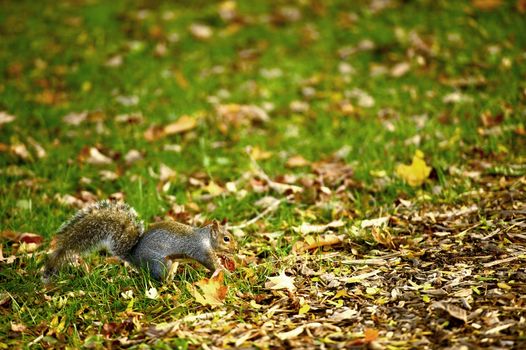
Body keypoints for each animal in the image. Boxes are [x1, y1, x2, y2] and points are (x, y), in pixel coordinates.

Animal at [43, 201, 237, 280]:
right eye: (226, 238)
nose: (236, 249)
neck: (205, 237)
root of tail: (133, 256)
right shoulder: (200, 249)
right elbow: (210, 263)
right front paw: (225, 272)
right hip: (159, 263)